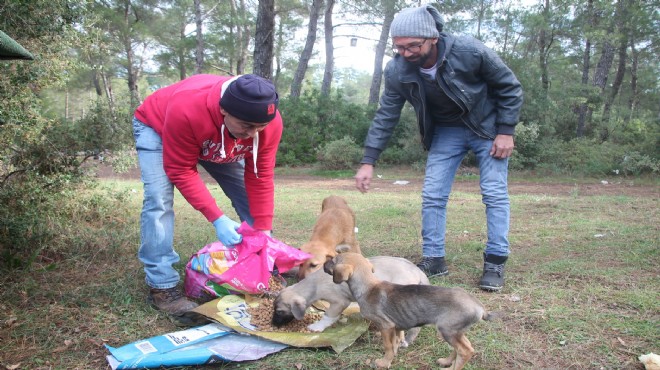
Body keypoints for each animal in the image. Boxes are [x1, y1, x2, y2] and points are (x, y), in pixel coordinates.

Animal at [274, 258, 428, 346]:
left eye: (279, 312)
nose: (273, 325)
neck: (314, 284)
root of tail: (418, 271)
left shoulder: (340, 302)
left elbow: (328, 316)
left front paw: (317, 327)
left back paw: (404, 340)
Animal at [324, 253, 496, 368]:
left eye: (333, 261)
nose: (324, 263)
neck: (368, 287)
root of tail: (479, 306)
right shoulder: (395, 326)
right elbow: (395, 343)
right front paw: (393, 355)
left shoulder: (386, 325)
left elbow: (388, 346)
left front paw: (383, 363)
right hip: (456, 331)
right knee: (461, 348)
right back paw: (446, 362)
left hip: (448, 330)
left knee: (466, 351)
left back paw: (452, 368)